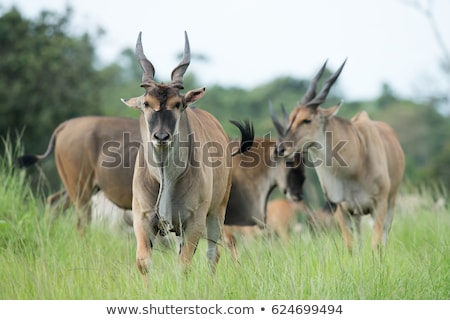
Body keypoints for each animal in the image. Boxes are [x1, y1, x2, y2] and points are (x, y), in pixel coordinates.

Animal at [270, 58, 404, 251]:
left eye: (306, 120)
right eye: (291, 119)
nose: (280, 149)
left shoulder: (379, 204)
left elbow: (376, 245)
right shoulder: (341, 209)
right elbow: (351, 246)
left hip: (390, 201)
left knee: (384, 235)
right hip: (357, 214)